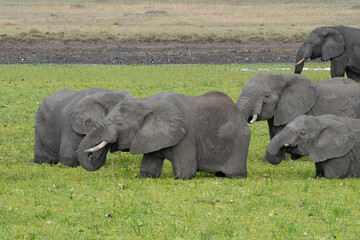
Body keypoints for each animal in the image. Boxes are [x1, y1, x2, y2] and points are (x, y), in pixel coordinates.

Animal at [76, 91, 250, 179]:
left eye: (119, 124)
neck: (147, 103)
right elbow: (148, 170)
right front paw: (148, 175)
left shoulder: (186, 135)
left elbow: (185, 173)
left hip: (239, 139)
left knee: (234, 173)